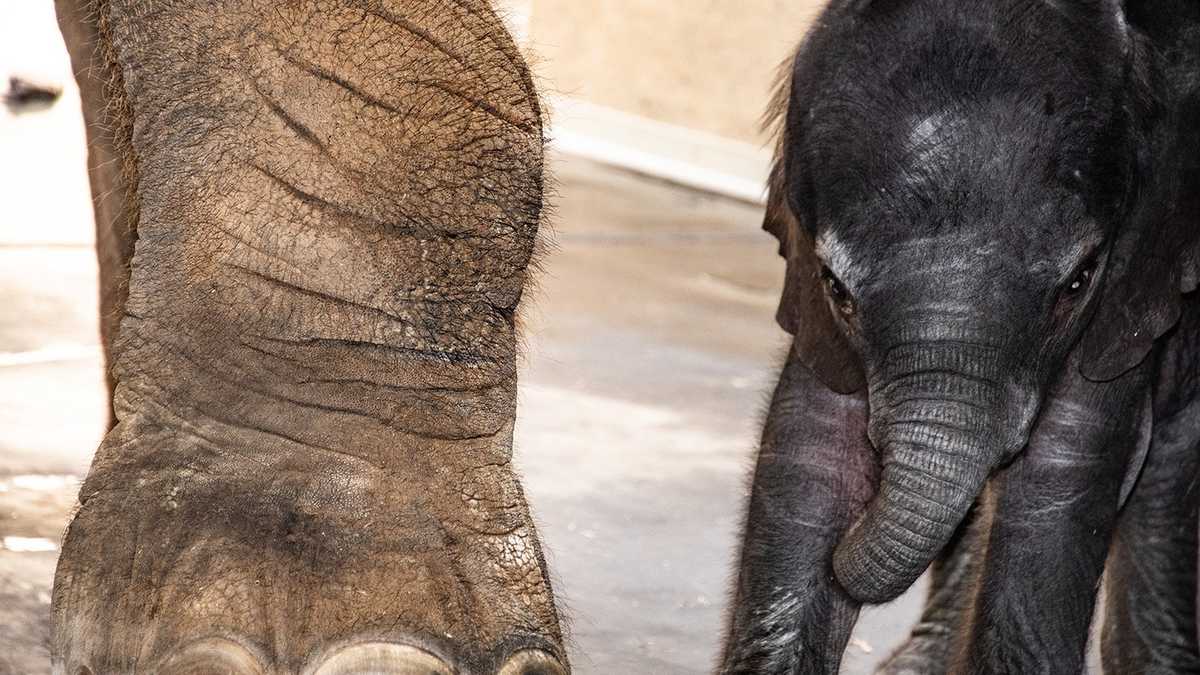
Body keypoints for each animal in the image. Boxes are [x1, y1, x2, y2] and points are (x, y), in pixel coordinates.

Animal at [720, 0, 1200, 667]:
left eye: (1078, 282)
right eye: (836, 290)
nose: (844, 560)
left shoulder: (1136, 276)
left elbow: (1059, 471)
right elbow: (812, 448)